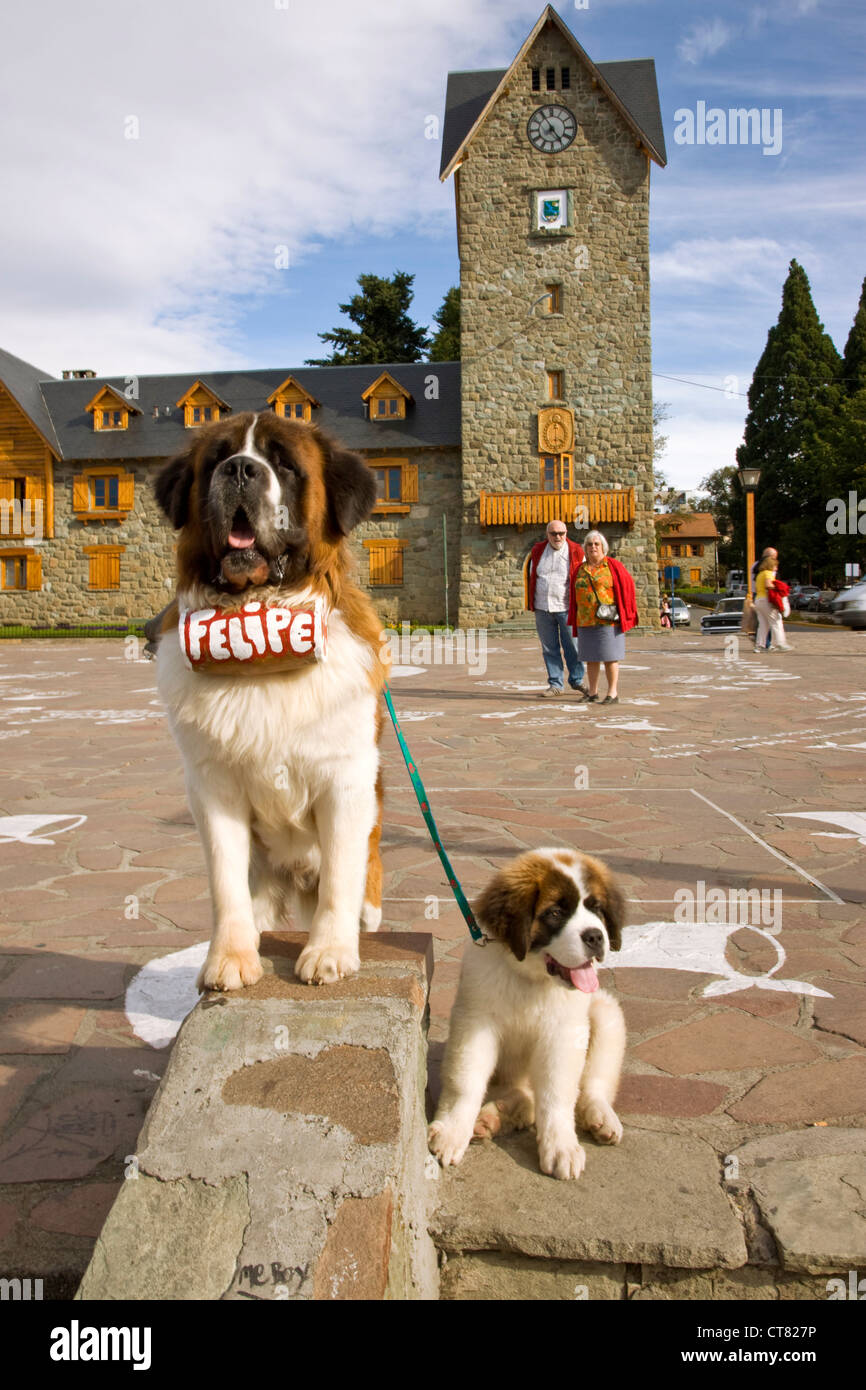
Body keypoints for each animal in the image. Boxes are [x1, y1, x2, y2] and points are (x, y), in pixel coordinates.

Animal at [154, 408, 389, 989]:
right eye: (217, 459)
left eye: (283, 463)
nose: (241, 469)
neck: (259, 624)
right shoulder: (212, 784)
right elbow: (224, 881)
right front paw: (230, 958)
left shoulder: (346, 779)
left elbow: (340, 878)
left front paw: (329, 952)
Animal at [430, 845, 625, 1184]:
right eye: (555, 913)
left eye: (596, 909)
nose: (595, 937)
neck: (530, 979)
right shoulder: (476, 1024)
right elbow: (465, 1081)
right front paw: (453, 1131)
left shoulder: (563, 1034)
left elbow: (558, 1094)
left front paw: (561, 1146)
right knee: (525, 1099)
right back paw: (491, 1118)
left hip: (605, 1011)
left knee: (591, 1086)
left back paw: (600, 1116)